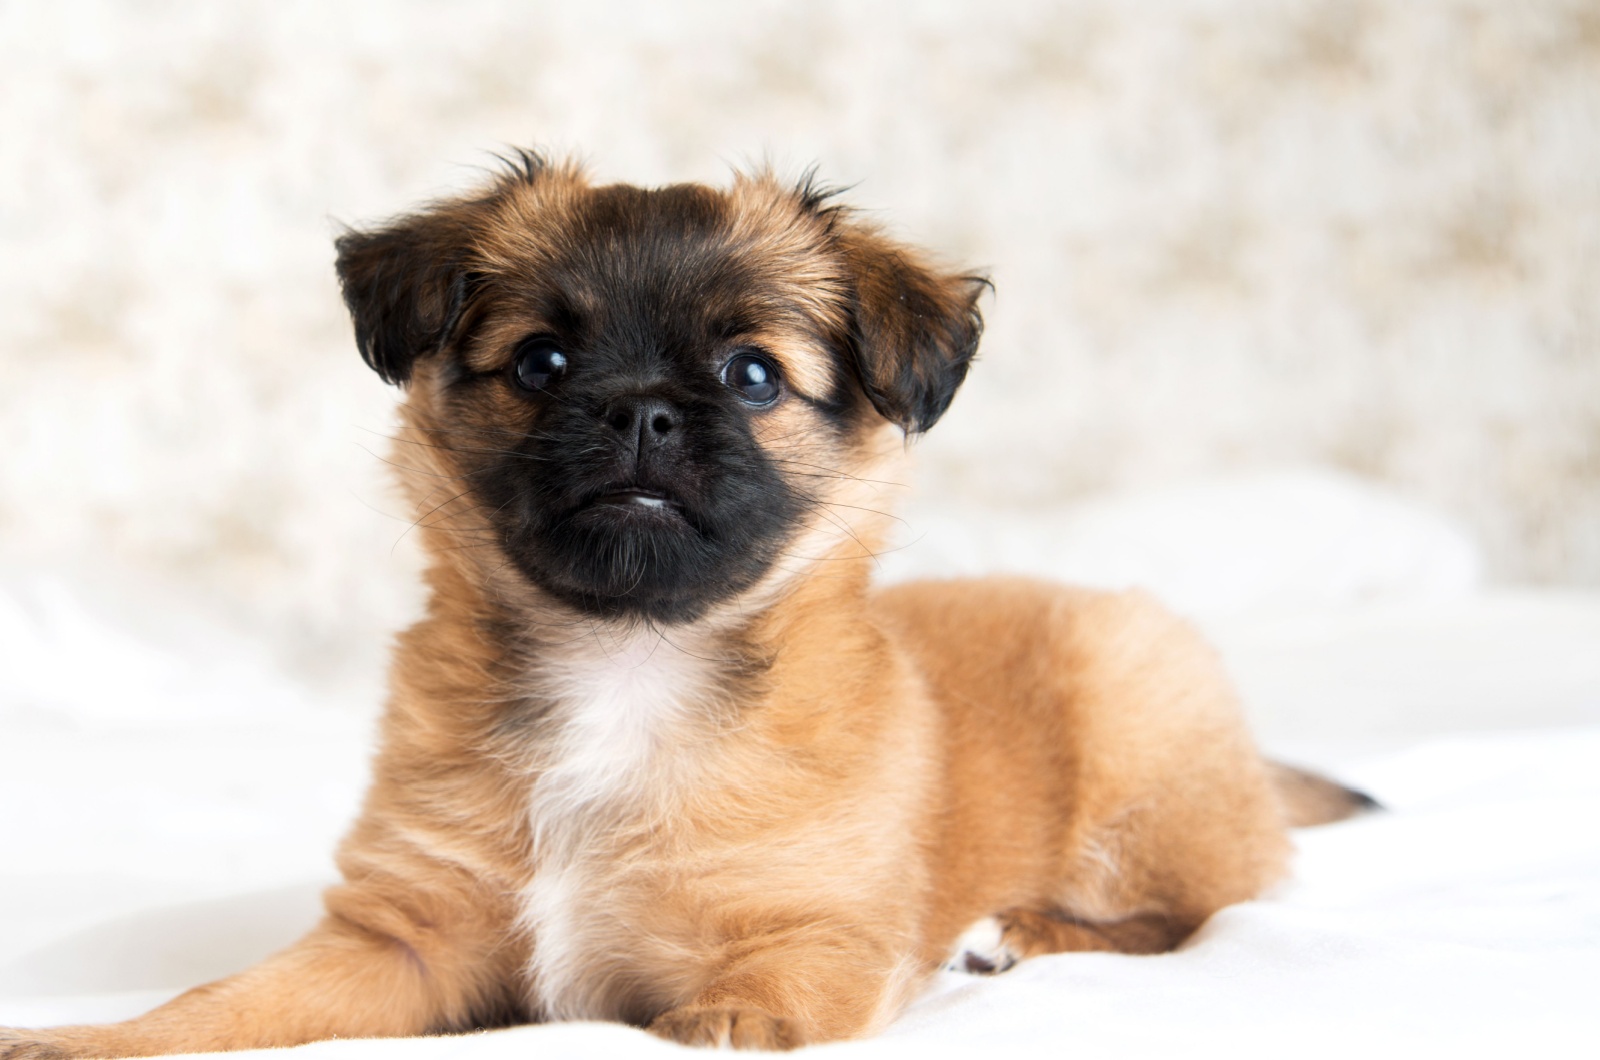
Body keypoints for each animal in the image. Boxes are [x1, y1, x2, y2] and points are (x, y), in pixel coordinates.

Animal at [0, 153, 1376, 1056]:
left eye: (752, 374)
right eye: (541, 361)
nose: (641, 411)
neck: (625, 663)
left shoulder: (808, 941)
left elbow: (744, 1009)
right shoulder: (399, 943)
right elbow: (219, 1009)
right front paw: (82, 1040)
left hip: (1141, 742)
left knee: (1197, 912)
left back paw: (1019, 932)